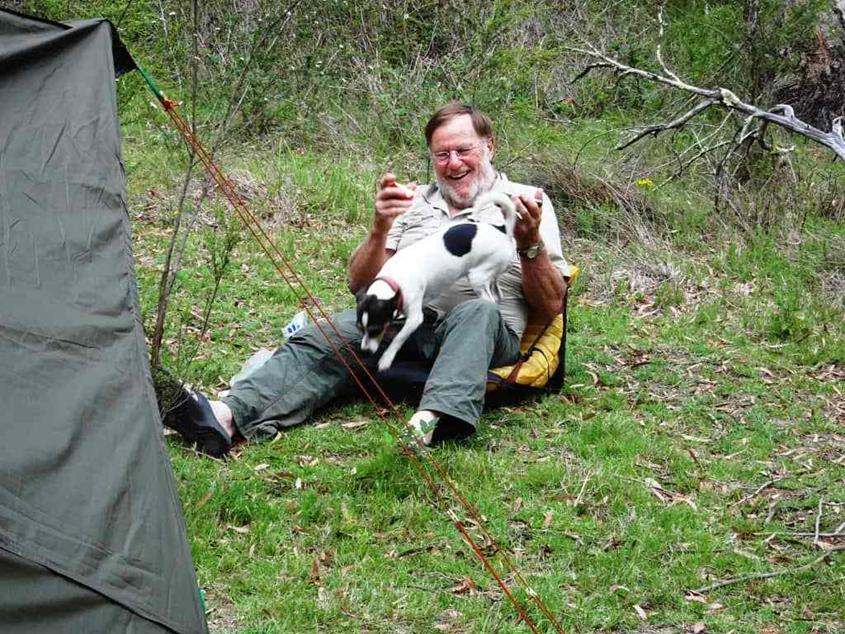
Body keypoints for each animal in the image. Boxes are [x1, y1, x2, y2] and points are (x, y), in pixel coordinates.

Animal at [356, 191, 521, 371]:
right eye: (360, 328)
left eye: (375, 329)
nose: (364, 351)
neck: (394, 279)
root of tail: (504, 232)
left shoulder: (415, 319)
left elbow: (398, 339)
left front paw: (386, 358)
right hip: (491, 275)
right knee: (498, 295)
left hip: (477, 277)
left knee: (490, 300)